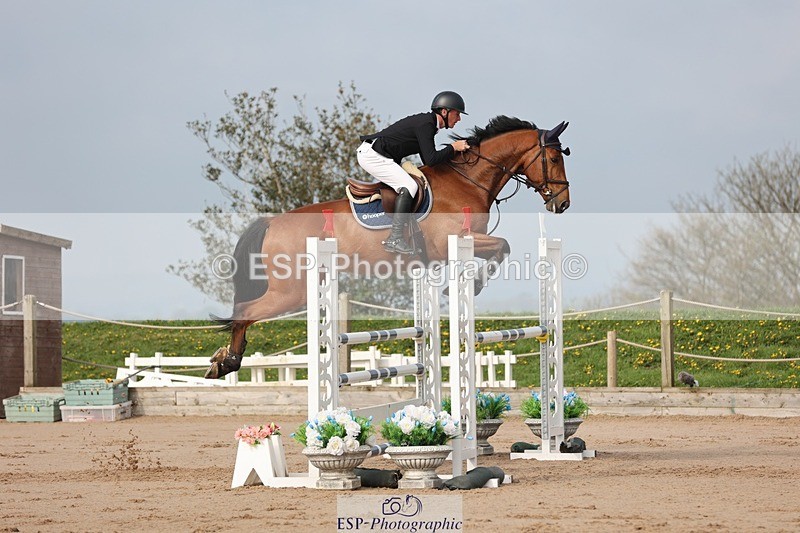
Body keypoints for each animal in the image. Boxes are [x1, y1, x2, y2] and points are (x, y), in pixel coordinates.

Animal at [204, 115, 571, 379]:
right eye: (554, 157)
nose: (563, 204)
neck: (468, 181)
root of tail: (271, 223)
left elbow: (501, 248)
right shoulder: (454, 243)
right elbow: (502, 247)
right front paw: (468, 287)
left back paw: (222, 360)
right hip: (290, 291)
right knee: (245, 312)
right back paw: (227, 361)